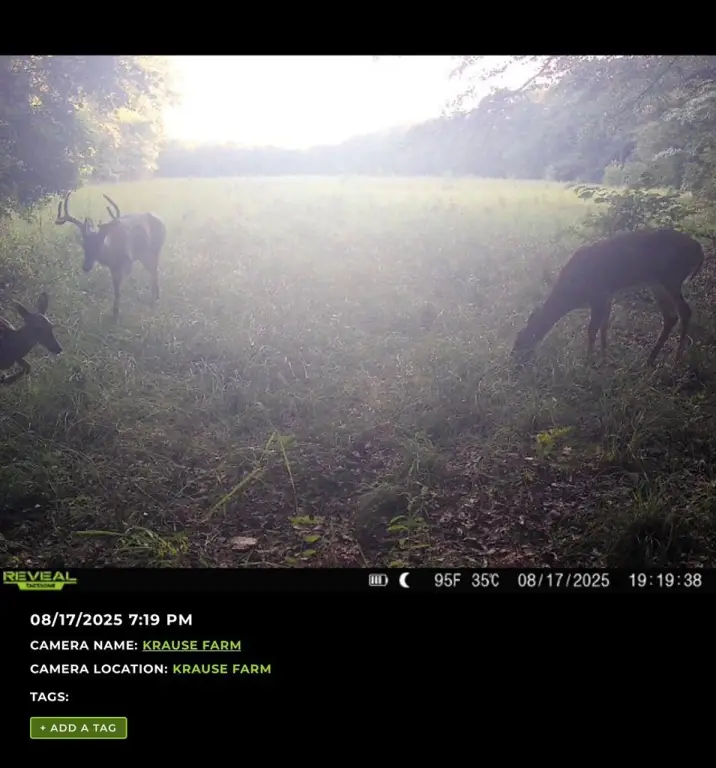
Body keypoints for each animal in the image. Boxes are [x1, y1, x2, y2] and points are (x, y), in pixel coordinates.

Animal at [55, 191, 166, 320]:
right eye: (84, 245)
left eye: (99, 244)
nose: (86, 267)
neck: (112, 252)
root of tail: (162, 222)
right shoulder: (113, 267)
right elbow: (115, 287)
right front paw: (115, 312)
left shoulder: (127, 262)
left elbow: (119, 288)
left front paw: (116, 314)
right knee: (153, 272)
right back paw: (154, 297)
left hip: (154, 250)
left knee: (154, 272)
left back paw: (155, 299)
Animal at [512, 228, 705, 367]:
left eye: (521, 338)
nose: (514, 358)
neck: (572, 292)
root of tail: (700, 250)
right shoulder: (607, 297)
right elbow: (604, 328)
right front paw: (604, 360)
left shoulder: (599, 294)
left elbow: (592, 330)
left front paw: (587, 362)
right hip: (657, 284)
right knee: (671, 316)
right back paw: (650, 360)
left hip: (671, 278)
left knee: (685, 312)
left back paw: (676, 359)